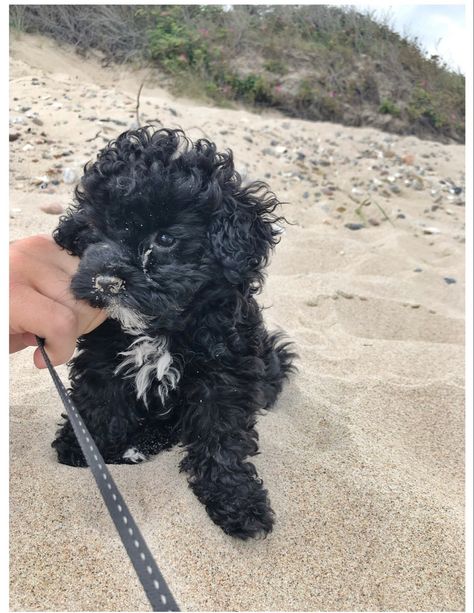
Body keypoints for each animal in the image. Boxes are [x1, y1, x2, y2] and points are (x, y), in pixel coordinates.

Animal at [53, 128, 294, 536]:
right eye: (95, 230)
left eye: (165, 239)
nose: (105, 282)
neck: (161, 326)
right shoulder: (103, 357)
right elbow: (99, 402)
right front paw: (81, 444)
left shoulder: (224, 376)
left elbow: (222, 437)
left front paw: (236, 499)